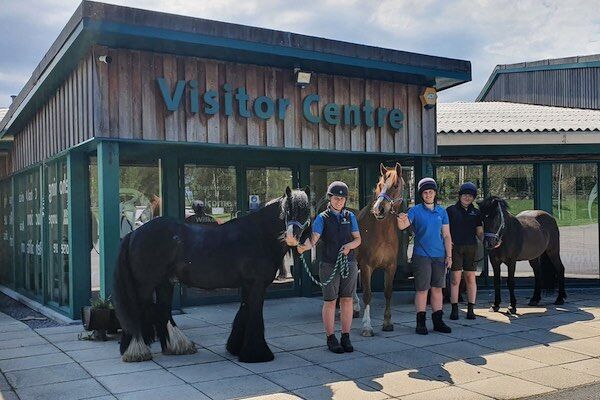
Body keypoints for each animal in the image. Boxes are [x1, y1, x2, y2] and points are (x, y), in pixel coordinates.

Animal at [112, 187, 310, 362]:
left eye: (306, 211)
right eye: (287, 210)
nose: (293, 237)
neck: (259, 235)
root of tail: (134, 234)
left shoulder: (248, 285)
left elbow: (244, 312)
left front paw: (236, 348)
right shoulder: (257, 285)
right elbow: (254, 314)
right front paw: (258, 354)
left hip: (165, 283)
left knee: (163, 311)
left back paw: (176, 346)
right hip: (144, 285)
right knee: (137, 311)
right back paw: (136, 351)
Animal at [356, 162, 404, 334]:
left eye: (395, 185)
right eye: (379, 185)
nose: (378, 209)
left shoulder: (391, 267)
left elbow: (388, 292)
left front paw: (387, 322)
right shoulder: (366, 266)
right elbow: (367, 294)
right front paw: (367, 326)